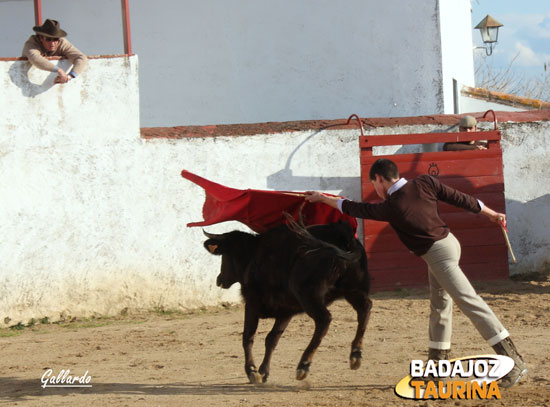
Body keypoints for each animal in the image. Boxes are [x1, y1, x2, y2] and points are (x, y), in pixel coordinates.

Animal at [205, 222, 374, 384]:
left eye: (225, 256)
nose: (219, 279)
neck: (252, 255)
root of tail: (345, 237)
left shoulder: (252, 304)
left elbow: (248, 336)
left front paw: (252, 371)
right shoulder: (286, 310)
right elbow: (272, 339)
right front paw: (263, 372)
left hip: (309, 296)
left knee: (324, 319)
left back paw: (304, 365)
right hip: (353, 290)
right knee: (365, 308)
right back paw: (356, 354)